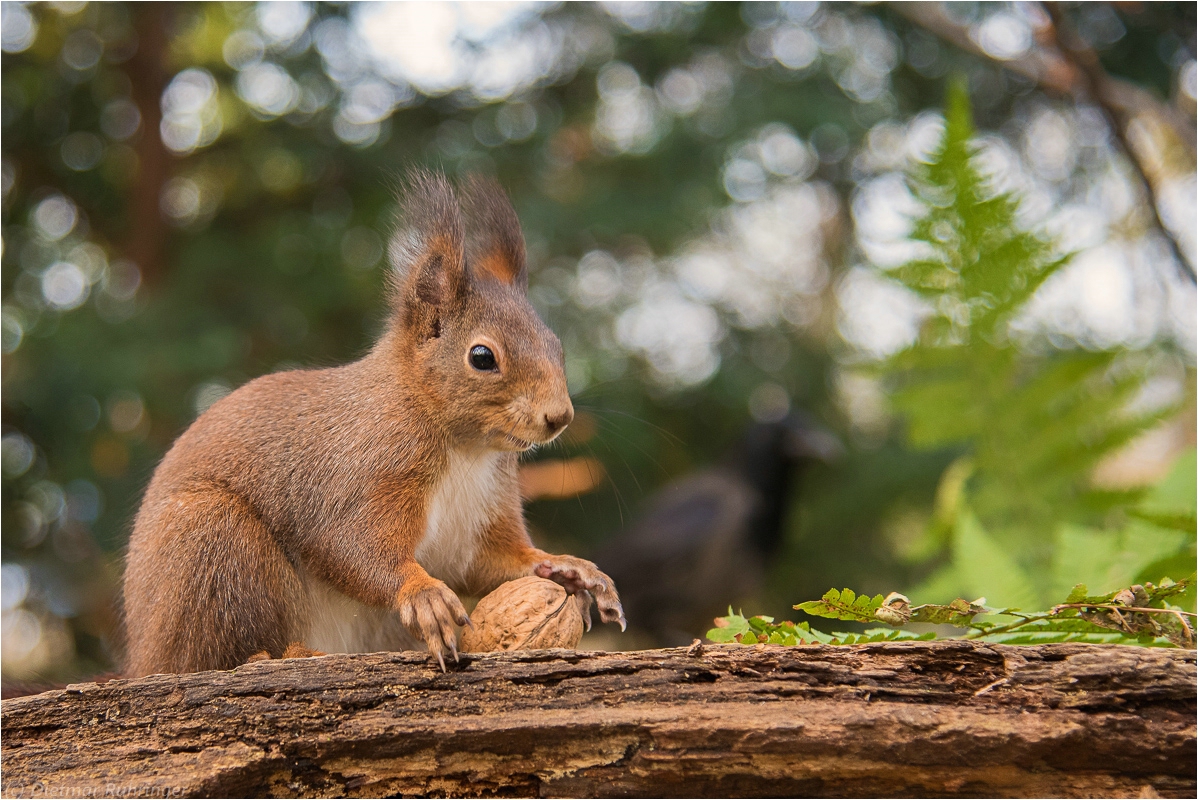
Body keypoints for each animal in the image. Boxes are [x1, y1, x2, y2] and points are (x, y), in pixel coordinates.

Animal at [121, 173, 627, 675]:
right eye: (482, 357)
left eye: (555, 345)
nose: (559, 417)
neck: (465, 450)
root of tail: (142, 656)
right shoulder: (363, 472)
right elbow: (351, 547)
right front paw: (422, 593)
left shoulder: (480, 514)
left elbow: (488, 564)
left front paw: (566, 566)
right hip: (210, 541)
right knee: (210, 654)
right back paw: (285, 654)